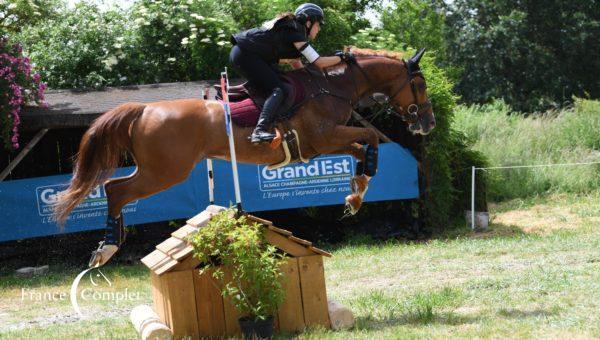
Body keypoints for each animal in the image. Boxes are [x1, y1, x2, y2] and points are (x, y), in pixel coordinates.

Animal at [54, 47, 434, 266]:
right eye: (421, 85)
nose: (428, 123)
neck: (332, 87)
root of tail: (145, 108)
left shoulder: (321, 146)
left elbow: (362, 147)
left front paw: (356, 191)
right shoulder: (324, 138)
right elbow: (369, 137)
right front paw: (361, 182)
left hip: (156, 169)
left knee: (114, 188)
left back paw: (109, 244)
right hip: (166, 171)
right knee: (117, 190)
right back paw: (107, 248)